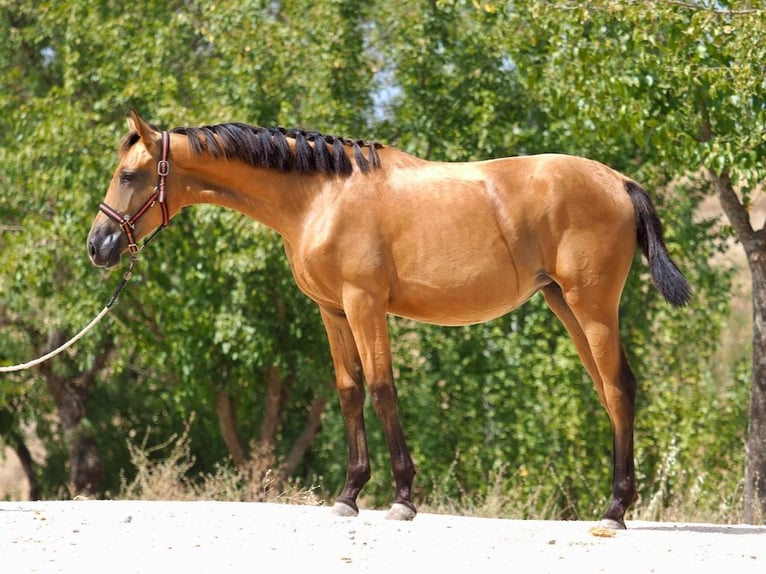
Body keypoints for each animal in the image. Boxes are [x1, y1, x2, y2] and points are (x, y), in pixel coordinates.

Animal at [88, 111, 690, 529]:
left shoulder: (364, 304)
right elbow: (350, 391)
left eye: (129, 174)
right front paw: (349, 495)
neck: (321, 196)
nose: (99, 245)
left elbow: (382, 389)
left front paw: (401, 498)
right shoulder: (332, 311)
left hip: (592, 306)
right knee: (608, 389)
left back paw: (614, 510)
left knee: (619, 388)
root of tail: (619, 181)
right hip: (564, 303)